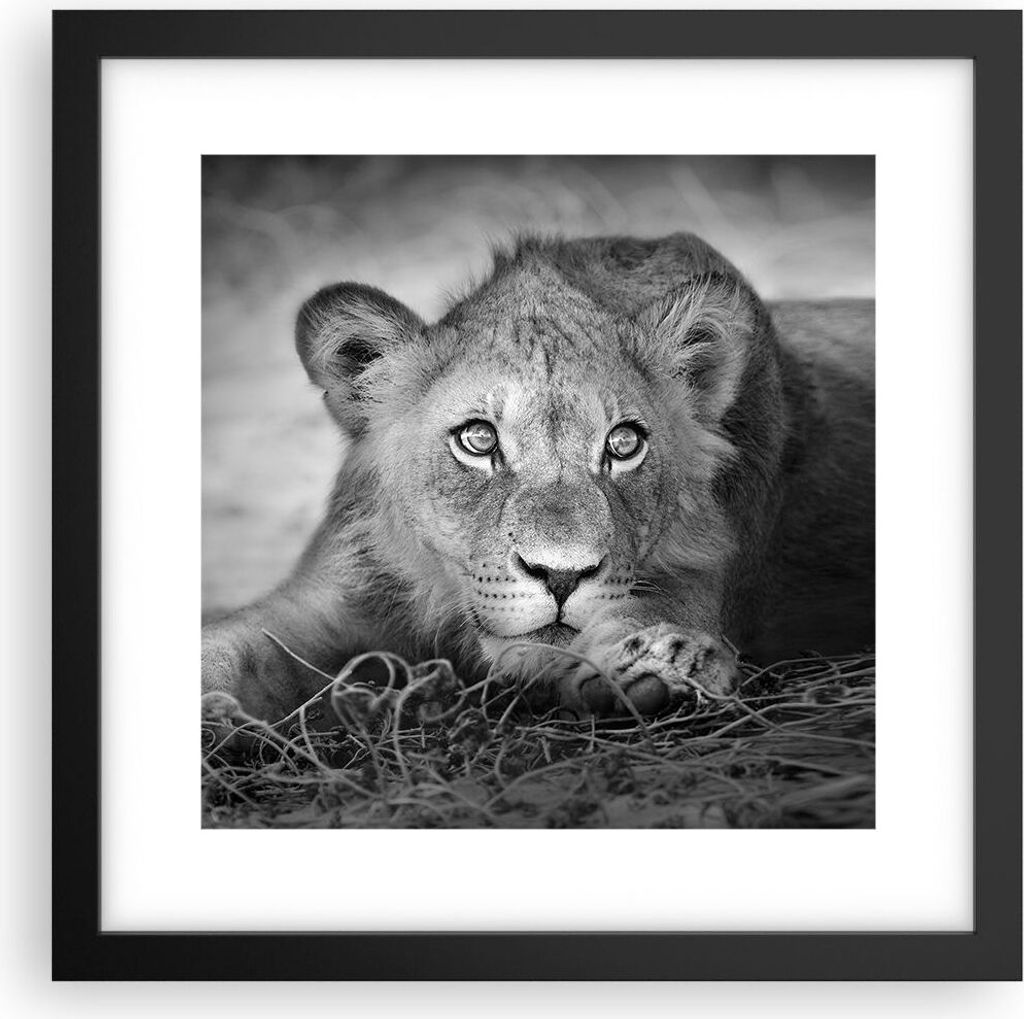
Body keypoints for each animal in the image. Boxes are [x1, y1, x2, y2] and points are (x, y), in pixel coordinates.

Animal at [202, 232, 874, 722]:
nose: (561, 576)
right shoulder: (332, 594)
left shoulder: (704, 574)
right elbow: (225, 647)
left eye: (624, 444)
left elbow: (653, 615)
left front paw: (662, 666)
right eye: (478, 440)